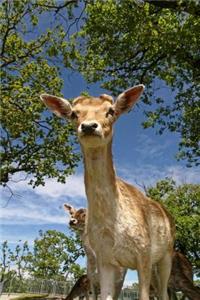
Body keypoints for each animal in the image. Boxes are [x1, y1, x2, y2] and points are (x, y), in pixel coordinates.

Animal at [40, 84, 175, 300]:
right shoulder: (106, 259)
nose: (88, 126)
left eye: (110, 111)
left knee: (163, 292)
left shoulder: (143, 253)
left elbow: (143, 295)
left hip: (167, 254)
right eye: (73, 113)